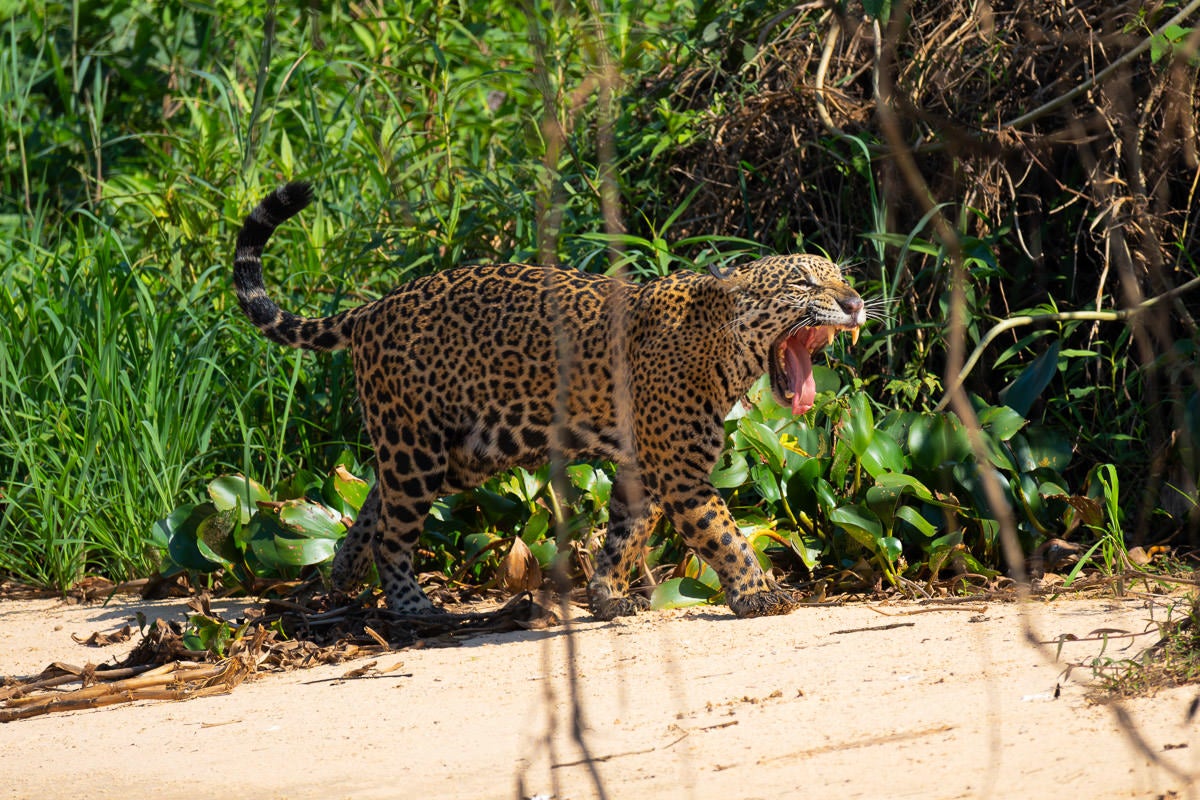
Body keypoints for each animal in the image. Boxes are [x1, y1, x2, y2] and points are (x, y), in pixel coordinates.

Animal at [233, 181, 865, 619]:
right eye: (805, 283)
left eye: (841, 277)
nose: (856, 303)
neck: (724, 351)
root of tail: (370, 308)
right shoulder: (680, 473)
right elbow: (724, 534)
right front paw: (759, 594)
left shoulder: (641, 472)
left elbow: (624, 537)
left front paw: (607, 597)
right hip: (418, 446)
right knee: (394, 529)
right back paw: (413, 608)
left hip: (457, 453)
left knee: (374, 500)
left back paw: (342, 572)